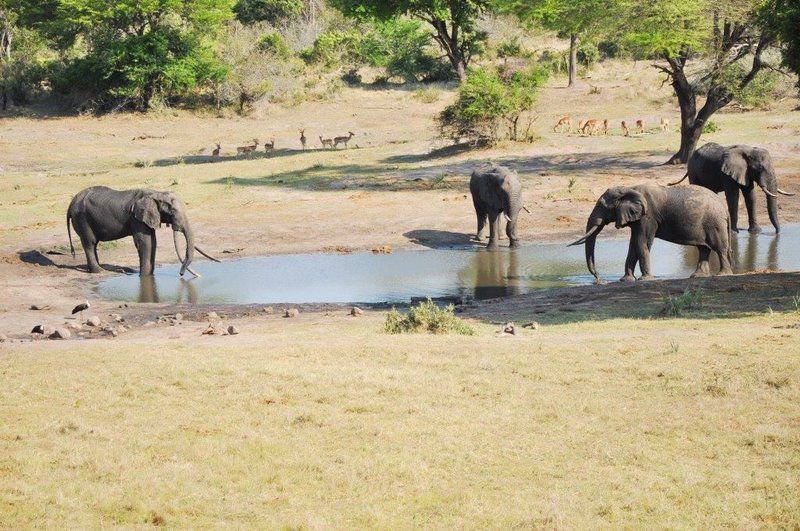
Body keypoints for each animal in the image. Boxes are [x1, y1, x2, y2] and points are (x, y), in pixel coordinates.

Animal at [66, 187, 219, 278]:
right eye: (172, 211)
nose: (181, 274)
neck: (157, 193)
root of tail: (71, 203)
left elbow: (153, 242)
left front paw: (149, 276)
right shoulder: (137, 218)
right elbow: (145, 242)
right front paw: (144, 277)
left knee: (94, 244)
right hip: (81, 218)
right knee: (90, 243)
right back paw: (99, 271)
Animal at [568, 184, 732, 282]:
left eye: (602, 206)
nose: (599, 279)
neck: (629, 189)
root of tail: (725, 209)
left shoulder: (648, 217)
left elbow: (642, 243)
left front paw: (645, 279)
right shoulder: (637, 219)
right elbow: (633, 245)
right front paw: (626, 280)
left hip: (714, 223)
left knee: (719, 248)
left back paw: (723, 275)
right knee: (704, 248)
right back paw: (697, 276)